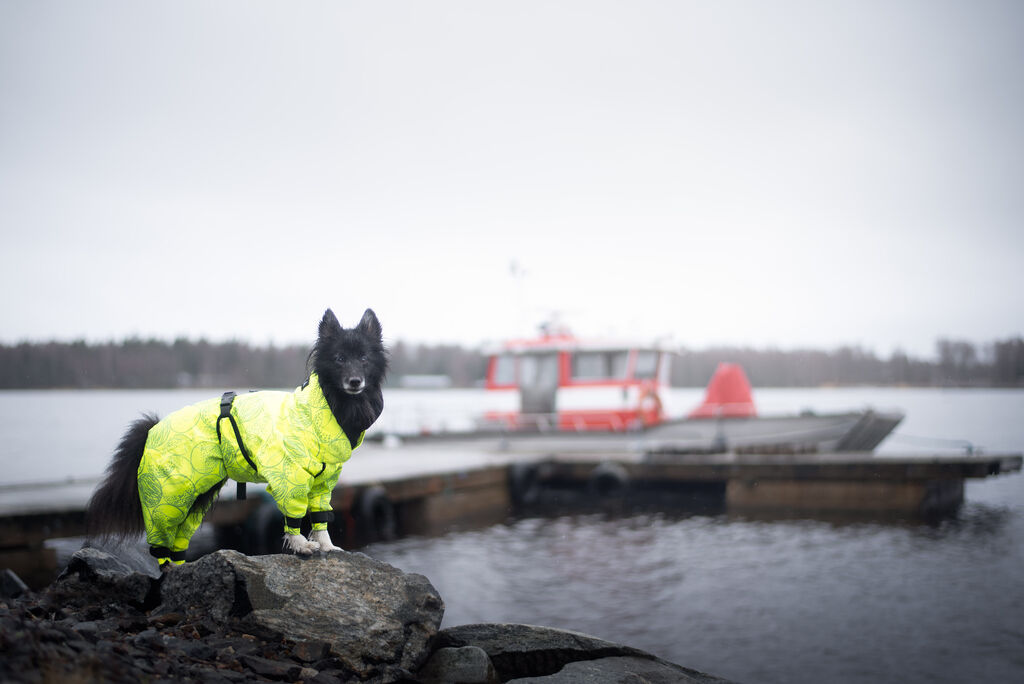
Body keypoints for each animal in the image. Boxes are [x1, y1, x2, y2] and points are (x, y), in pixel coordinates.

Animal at [89, 309, 387, 565]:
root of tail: (152, 428)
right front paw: (302, 545)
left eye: (364, 359)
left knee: (177, 543)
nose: (355, 381)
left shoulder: (324, 481)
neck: (326, 406)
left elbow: (320, 517)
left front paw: (328, 546)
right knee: (161, 543)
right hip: (168, 497)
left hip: (197, 497)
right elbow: (294, 516)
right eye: (339, 359)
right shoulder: (290, 475)